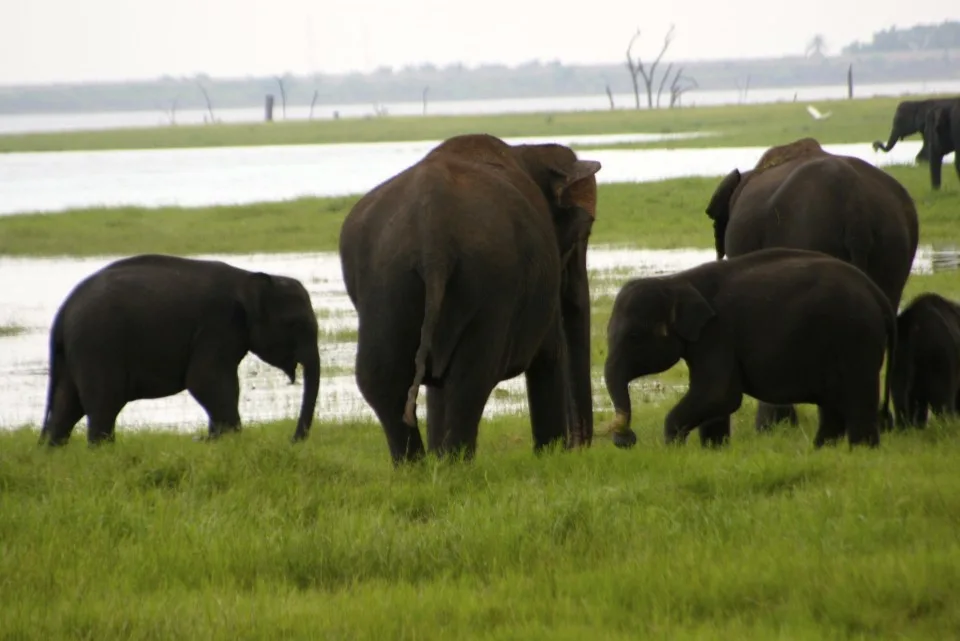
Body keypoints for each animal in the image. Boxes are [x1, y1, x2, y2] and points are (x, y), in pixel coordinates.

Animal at [38, 254, 322, 444]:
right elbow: (206, 381)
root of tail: (63, 312)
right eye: (295, 324)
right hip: (97, 345)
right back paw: (102, 450)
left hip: (75, 352)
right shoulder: (218, 324)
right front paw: (230, 440)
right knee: (103, 403)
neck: (248, 277)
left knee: (67, 406)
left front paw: (217, 440)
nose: (293, 439)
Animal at [340, 132, 600, 462]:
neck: (527, 151)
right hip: (489, 282)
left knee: (383, 378)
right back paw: (455, 464)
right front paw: (549, 457)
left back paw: (421, 467)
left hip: (385, 278)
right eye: (582, 235)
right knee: (470, 379)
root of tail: (432, 236)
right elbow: (549, 354)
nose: (578, 447)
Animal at [604, 248, 896, 448]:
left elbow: (718, 393)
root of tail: (878, 295)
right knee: (833, 406)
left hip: (857, 339)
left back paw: (861, 451)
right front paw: (713, 450)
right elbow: (716, 398)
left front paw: (673, 449)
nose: (626, 438)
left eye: (633, 336)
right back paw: (822, 450)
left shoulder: (717, 334)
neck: (676, 280)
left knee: (858, 399)